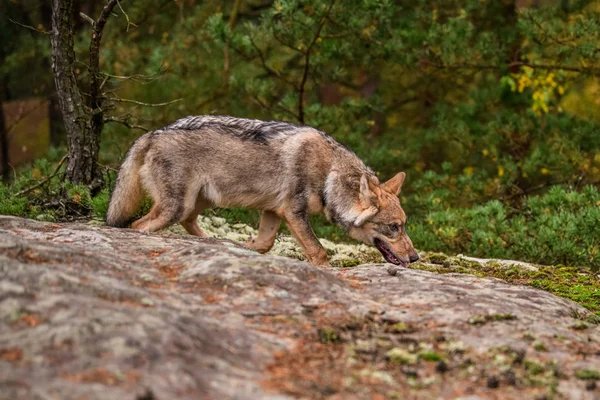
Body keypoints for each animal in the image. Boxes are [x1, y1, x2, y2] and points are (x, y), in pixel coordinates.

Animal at [105, 115, 420, 266]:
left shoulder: (273, 211)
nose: (416, 258)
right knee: (136, 226)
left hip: (200, 202)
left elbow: (265, 244)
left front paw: (246, 247)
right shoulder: (293, 213)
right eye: (394, 227)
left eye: (403, 226)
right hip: (175, 207)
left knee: (189, 222)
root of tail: (150, 134)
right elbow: (319, 252)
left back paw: (215, 242)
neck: (330, 174)